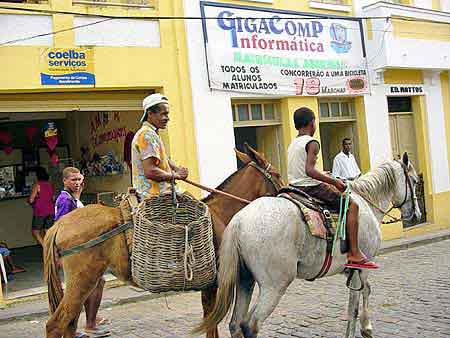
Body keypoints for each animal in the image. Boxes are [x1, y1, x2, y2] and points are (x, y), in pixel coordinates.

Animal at [42, 145, 282, 338]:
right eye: (277, 174)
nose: (288, 192)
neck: (222, 214)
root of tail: (59, 226)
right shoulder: (216, 285)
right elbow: (212, 325)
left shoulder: (209, 286)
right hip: (82, 281)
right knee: (56, 324)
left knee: (70, 324)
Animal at [194, 154, 422, 338]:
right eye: (414, 180)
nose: (416, 214)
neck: (366, 204)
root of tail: (239, 220)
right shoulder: (363, 266)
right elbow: (358, 301)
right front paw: (365, 329)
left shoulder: (350, 270)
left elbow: (359, 296)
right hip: (274, 286)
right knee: (250, 325)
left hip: (245, 281)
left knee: (236, 324)